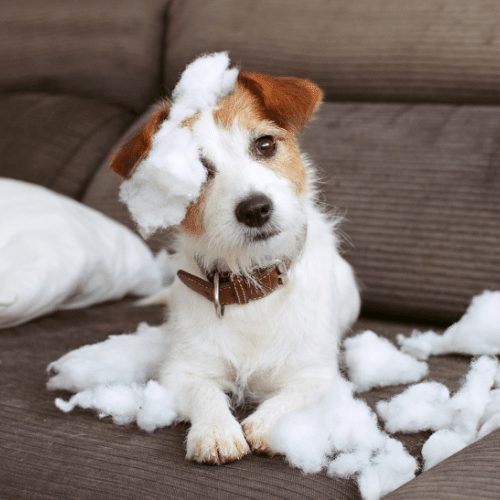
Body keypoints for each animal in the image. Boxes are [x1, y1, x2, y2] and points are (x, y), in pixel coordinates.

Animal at [110, 57, 360, 464]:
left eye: (265, 144)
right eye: (197, 173)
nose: (255, 209)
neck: (251, 283)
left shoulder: (315, 374)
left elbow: (291, 398)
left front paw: (264, 425)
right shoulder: (184, 371)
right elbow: (205, 393)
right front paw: (216, 432)